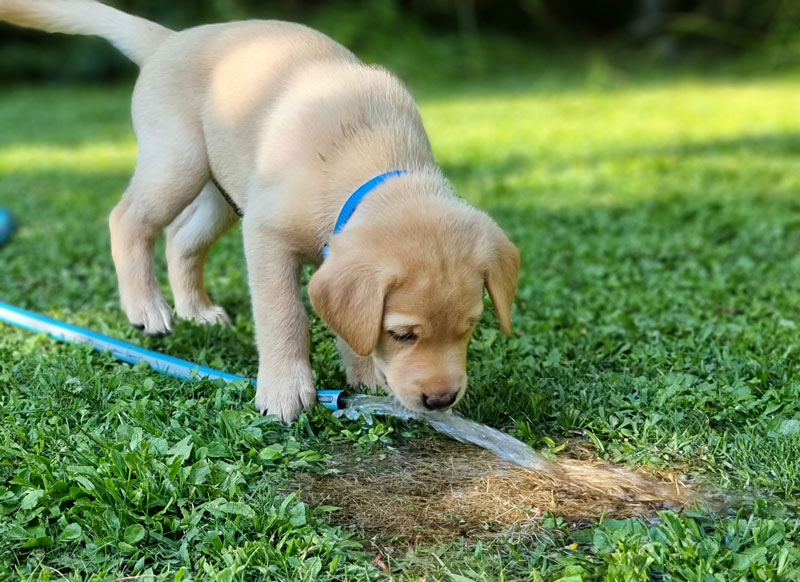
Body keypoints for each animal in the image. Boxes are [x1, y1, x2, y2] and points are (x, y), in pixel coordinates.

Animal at [0, 0, 520, 422]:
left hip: (224, 193)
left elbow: (346, 322)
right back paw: (147, 307)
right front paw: (286, 391)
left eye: (470, 328)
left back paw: (197, 310)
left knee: (181, 239)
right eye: (404, 334)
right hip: (179, 162)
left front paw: (365, 376)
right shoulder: (267, 234)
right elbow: (284, 315)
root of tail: (170, 39)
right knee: (129, 219)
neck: (372, 163)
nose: (442, 400)